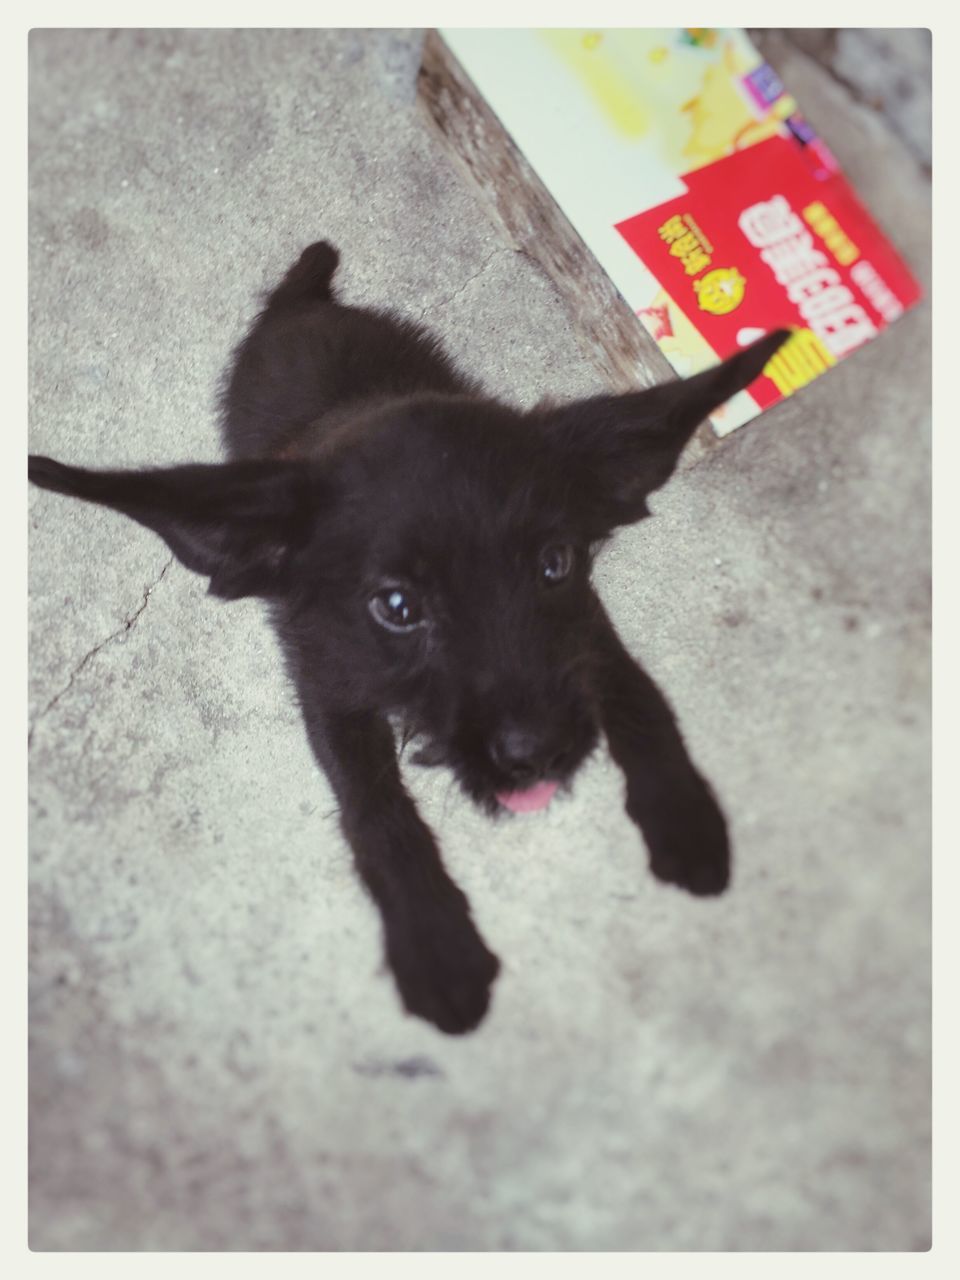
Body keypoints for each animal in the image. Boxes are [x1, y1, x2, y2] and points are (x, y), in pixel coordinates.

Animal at [30, 244, 788, 1034]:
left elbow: (637, 692)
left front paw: (684, 816)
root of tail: (303, 303)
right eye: (397, 606)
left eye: (554, 563)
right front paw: (436, 945)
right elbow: (375, 810)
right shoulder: (328, 686)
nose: (539, 753)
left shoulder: (581, 625)